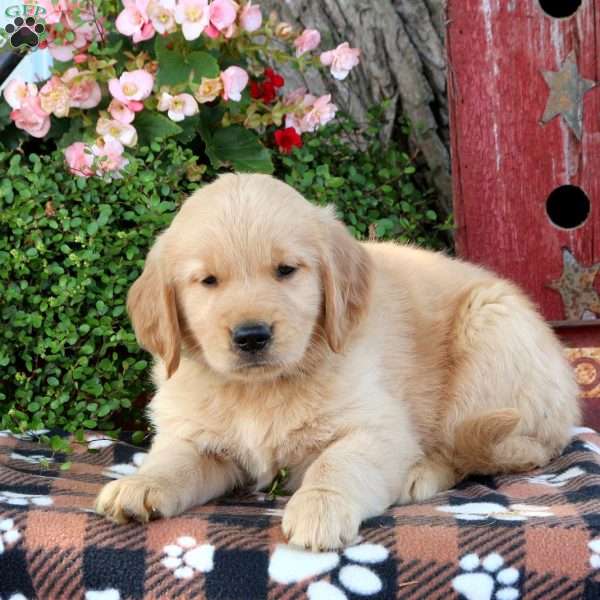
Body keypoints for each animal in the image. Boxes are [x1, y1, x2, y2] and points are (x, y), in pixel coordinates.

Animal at [96, 172, 580, 548]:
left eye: (286, 271)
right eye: (208, 281)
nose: (252, 336)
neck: (260, 390)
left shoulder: (377, 426)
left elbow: (337, 462)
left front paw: (319, 507)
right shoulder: (197, 437)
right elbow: (172, 461)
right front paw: (140, 485)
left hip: (489, 329)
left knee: (472, 450)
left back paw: (420, 472)